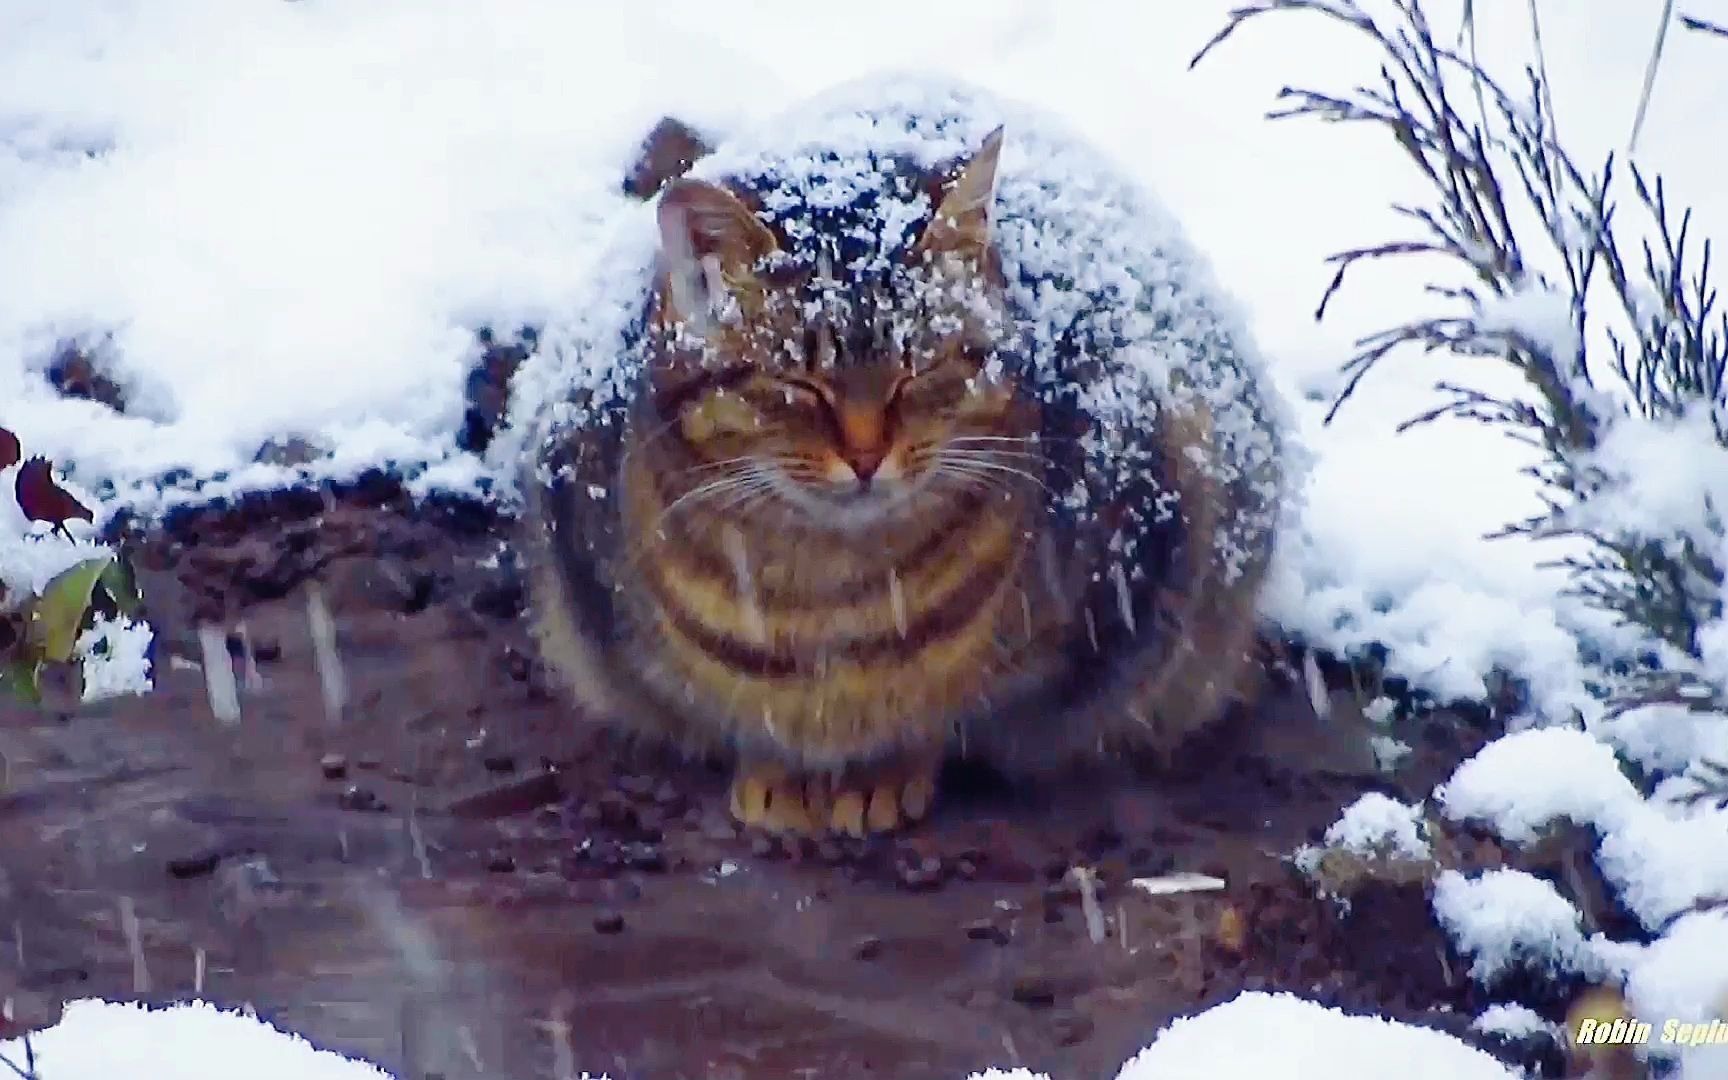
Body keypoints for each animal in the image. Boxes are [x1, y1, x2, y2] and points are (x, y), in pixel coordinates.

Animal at [518, 79, 1292, 839]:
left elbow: (947, 722)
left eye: (918, 371)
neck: (827, 597)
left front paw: (878, 776)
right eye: (798, 383)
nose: (866, 455)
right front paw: (777, 772)